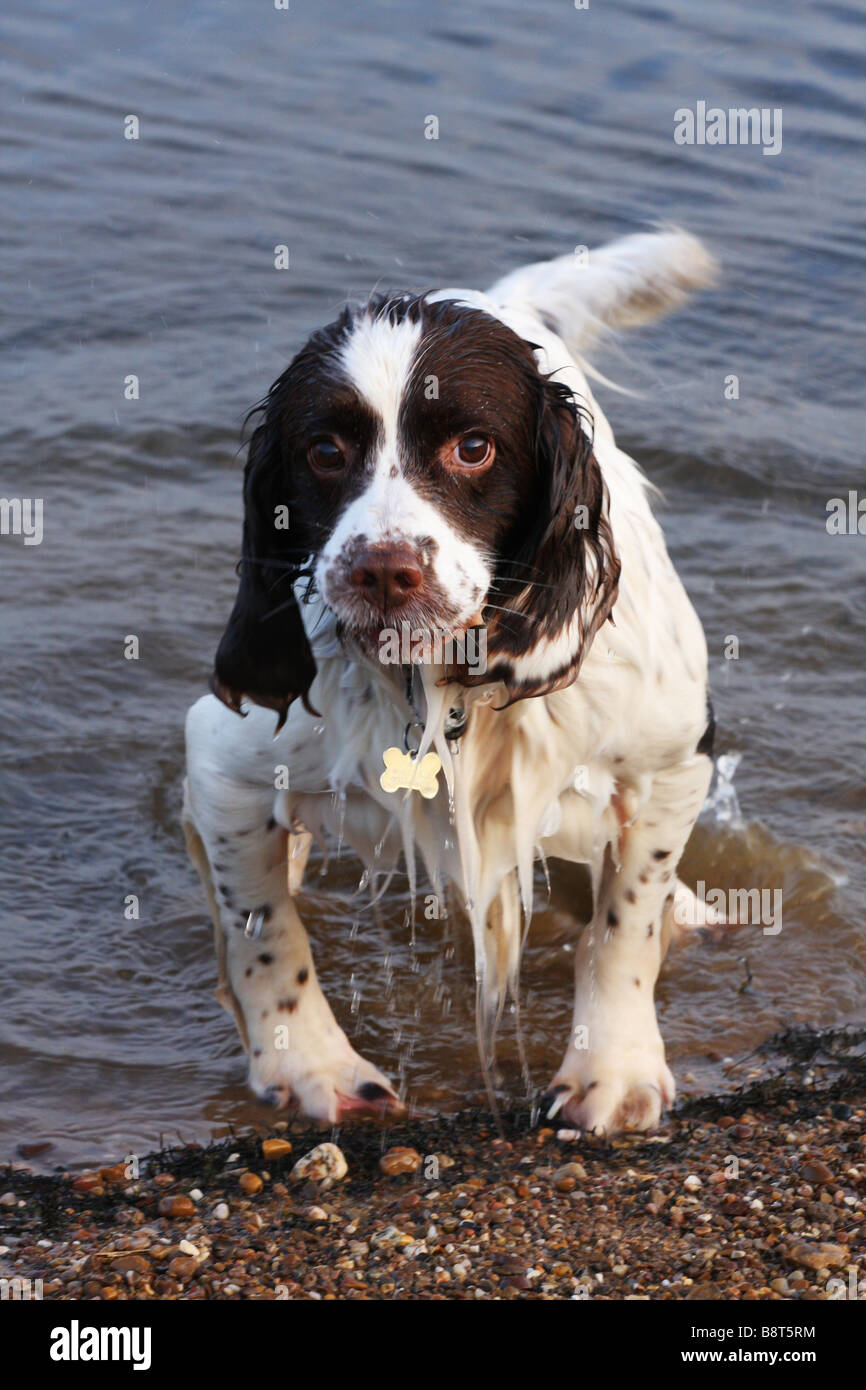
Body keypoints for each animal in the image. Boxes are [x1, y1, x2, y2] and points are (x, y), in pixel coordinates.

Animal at [184, 227, 722, 1134]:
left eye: (474, 448)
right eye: (324, 451)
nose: (382, 570)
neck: (446, 685)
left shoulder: (674, 759)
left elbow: (625, 924)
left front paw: (610, 1069)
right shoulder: (224, 761)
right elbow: (266, 934)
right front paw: (312, 1067)